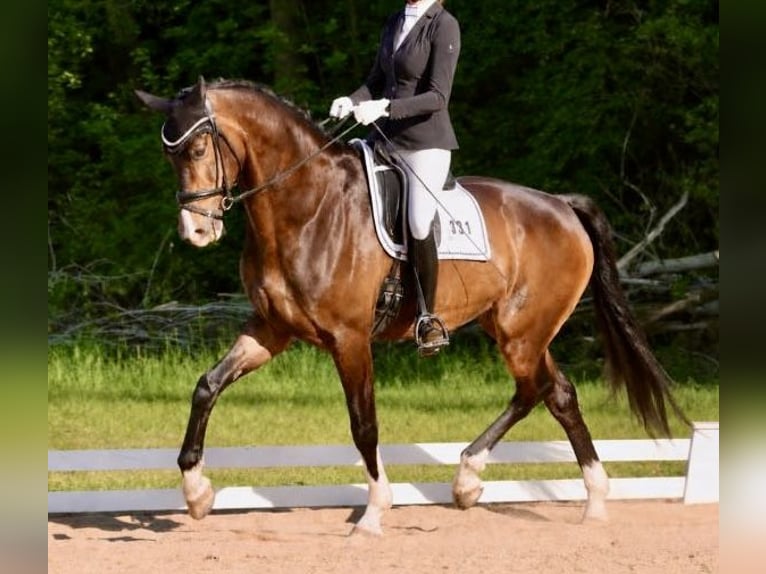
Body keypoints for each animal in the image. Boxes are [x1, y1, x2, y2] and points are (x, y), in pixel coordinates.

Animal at [135, 76, 687, 535]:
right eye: (167, 156)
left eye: (200, 147)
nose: (195, 231)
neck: (306, 205)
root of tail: (560, 204)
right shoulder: (272, 329)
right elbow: (207, 386)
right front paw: (197, 492)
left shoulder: (349, 339)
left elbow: (364, 424)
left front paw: (375, 513)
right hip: (514, 329)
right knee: (553, 392)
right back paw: (529, 490)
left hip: (522, 332)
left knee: (543, 390)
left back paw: (544, 490)